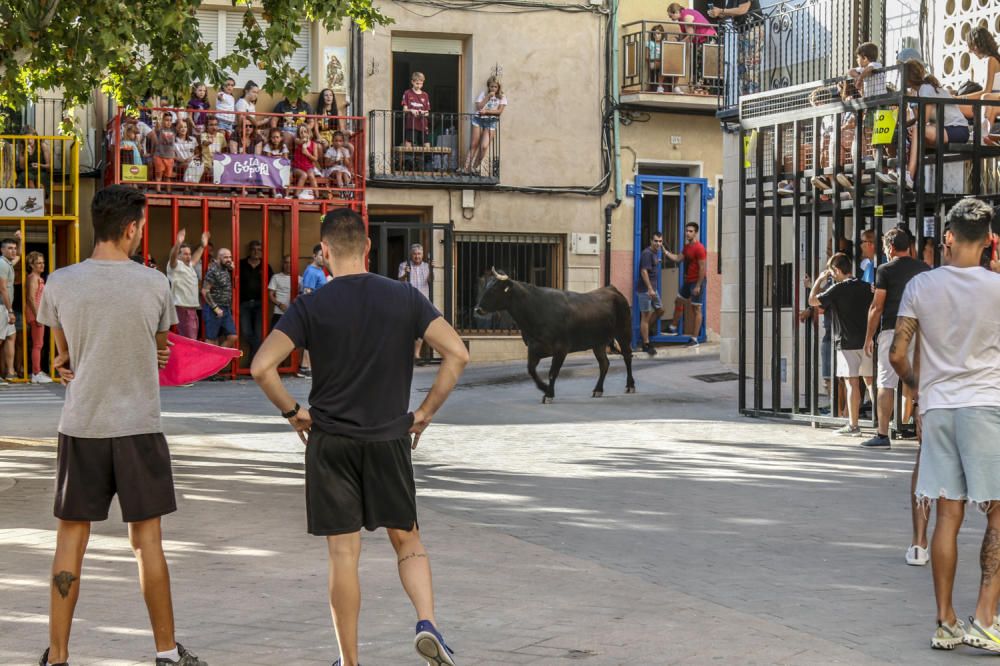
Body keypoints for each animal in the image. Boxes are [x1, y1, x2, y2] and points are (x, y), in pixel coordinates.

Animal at [474, 272, 632, 402]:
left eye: (494, 289)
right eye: (485, 287)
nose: (477, 309)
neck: (536, 309)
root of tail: (612, 289)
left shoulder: (561, 348)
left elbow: (552, 372)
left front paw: (549, 394)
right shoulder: (533, 347)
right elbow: (531, 370)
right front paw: (544, 388)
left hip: (623, 333)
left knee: (627, 356)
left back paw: (630, 386)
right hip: (598, 343)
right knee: (604, 364)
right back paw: (598, 390)